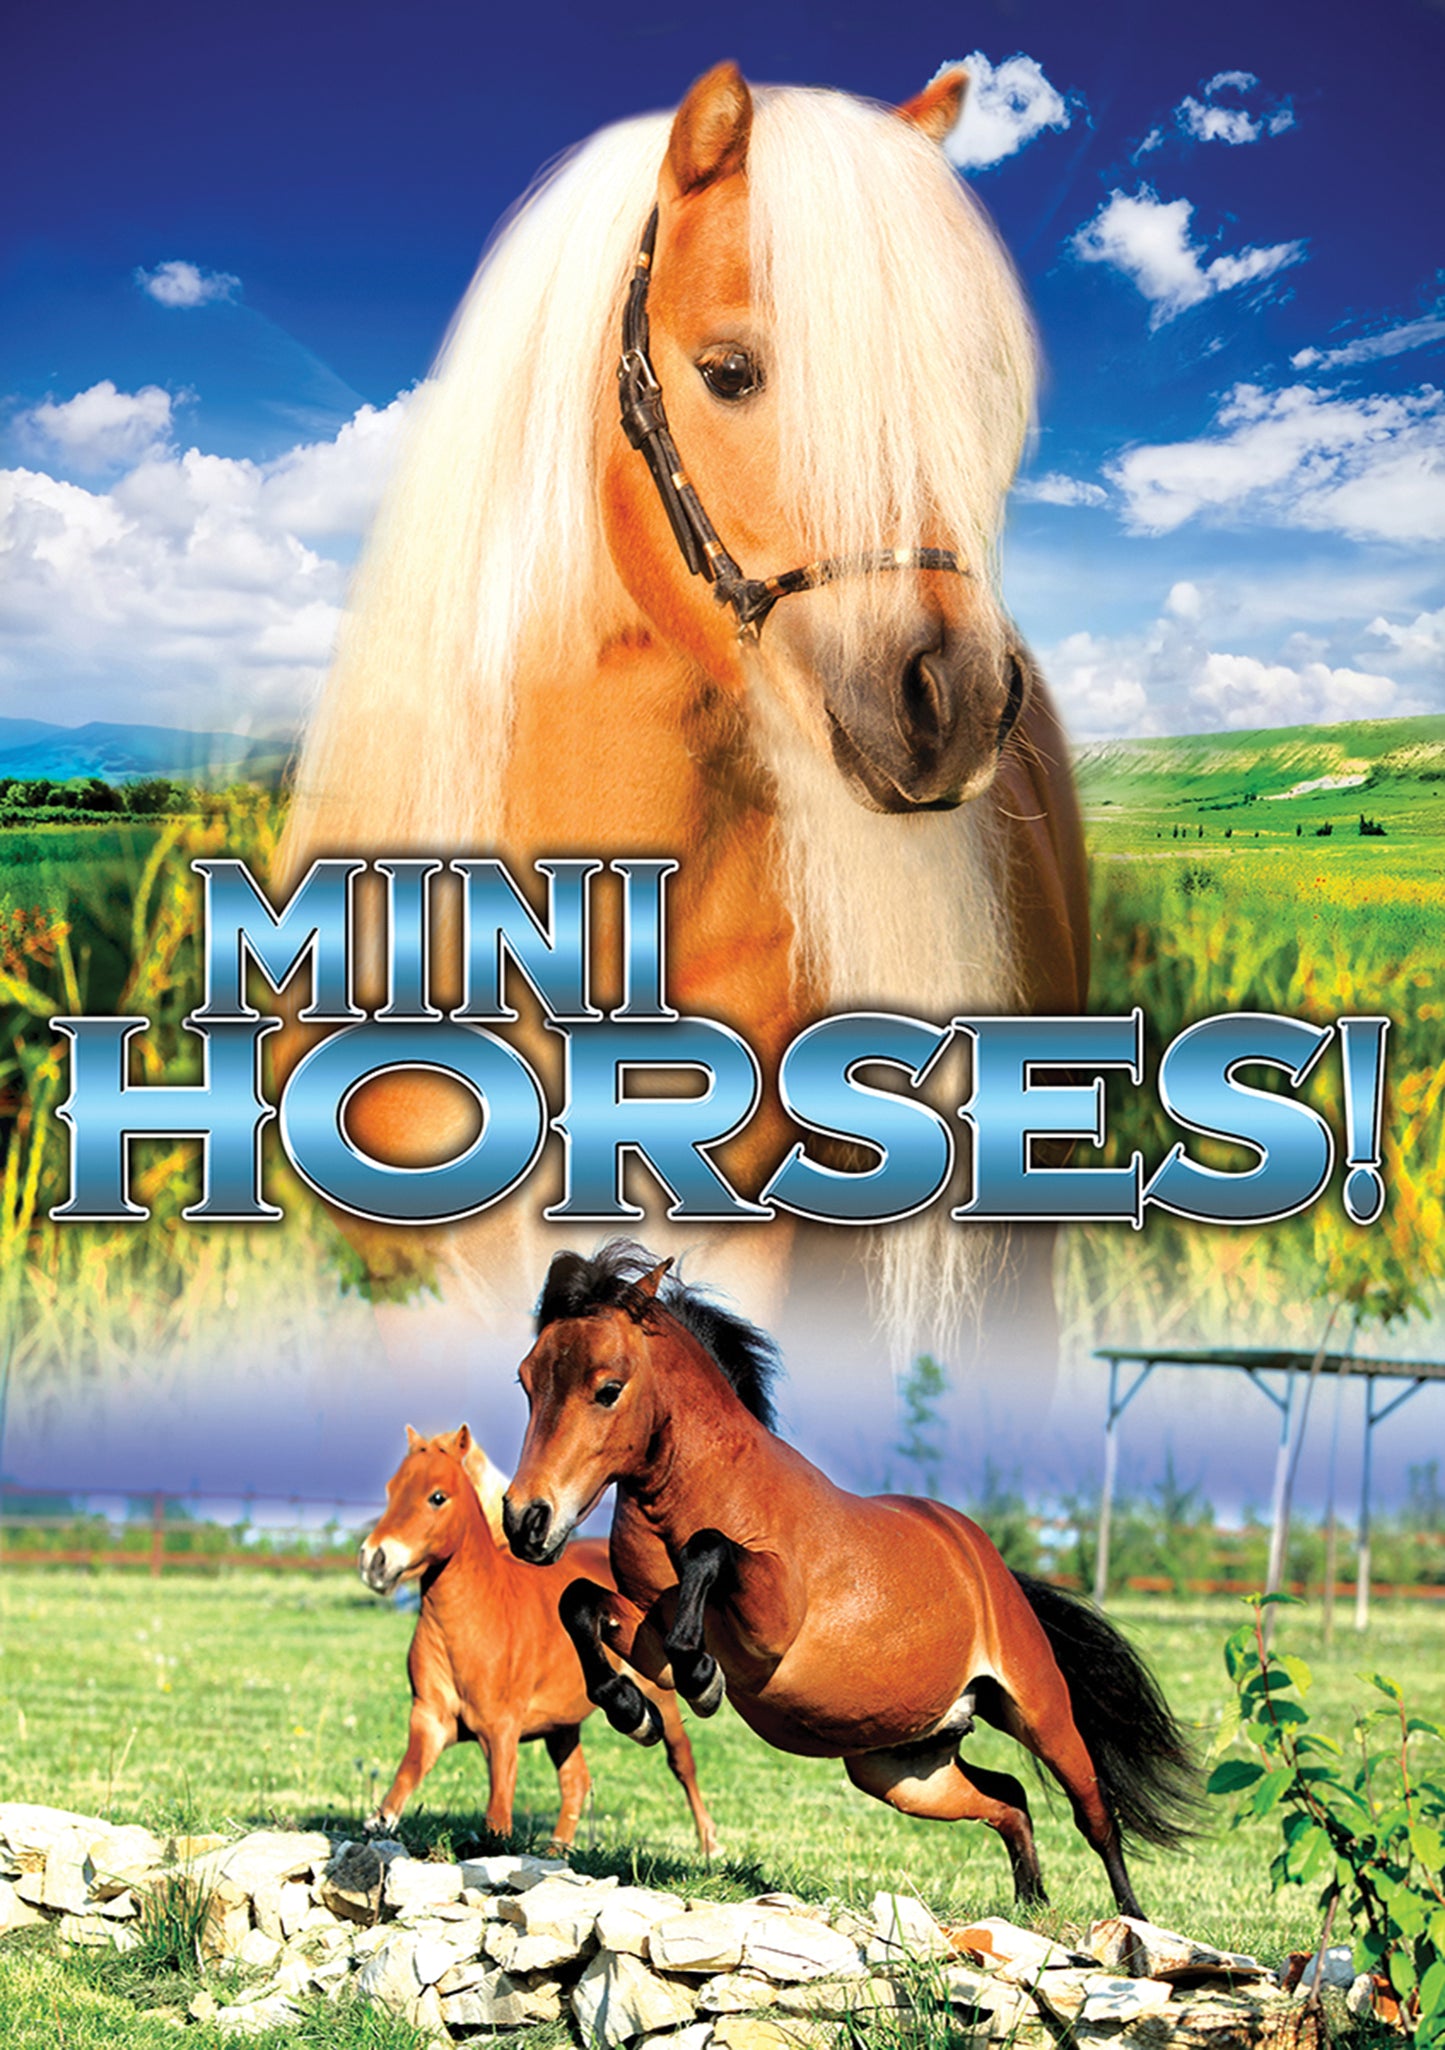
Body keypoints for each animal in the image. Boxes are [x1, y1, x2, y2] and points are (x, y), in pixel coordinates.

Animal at [357, 1423, 717, 1853]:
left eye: (437, 1497)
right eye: (392, 1489)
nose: (374, 1561)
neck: (470, 1622)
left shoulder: (500, 1732)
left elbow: (498, 1817)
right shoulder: (430, 1721)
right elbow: (400, 1788)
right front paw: (376, 1828)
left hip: (657, 1693)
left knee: (682, 1760)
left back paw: (710, 1843)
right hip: (561, 1727)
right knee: (576, 1781)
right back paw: (557, 1849)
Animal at [502, 1245, 1198, 1913]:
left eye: (608, 1388)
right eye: (526, 1381)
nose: (526, 1521)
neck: (705, 1489)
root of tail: (988, 1564)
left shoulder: (767, 1627)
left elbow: (709, 1553)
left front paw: (699, 1678)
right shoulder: (646, 1633)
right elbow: (581, 1603)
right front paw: (633, 1709)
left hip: (1042, 1716)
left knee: (1095, 1816)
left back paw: (1132, 1929)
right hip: (904, 1771)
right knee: (1009, 1798)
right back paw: (1031, 1906)